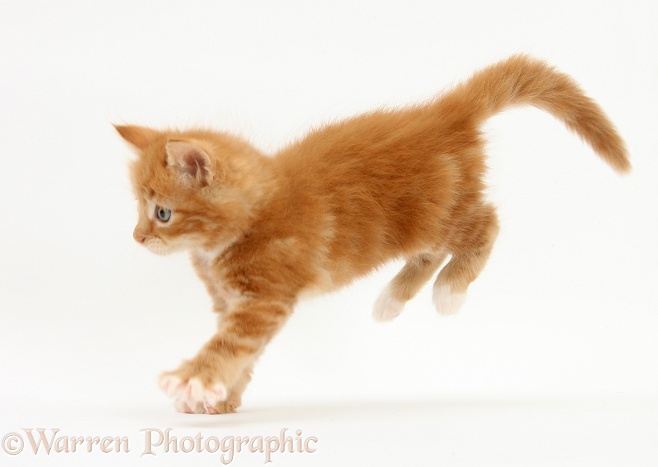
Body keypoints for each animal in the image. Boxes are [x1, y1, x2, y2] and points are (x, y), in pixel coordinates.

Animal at [115, 55, 628, 416]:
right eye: (139, 210)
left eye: (162, 213)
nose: (137, 237)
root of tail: (443, 113)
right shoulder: (234, 303)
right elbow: (243, 353)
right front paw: (220, 398)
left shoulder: (264, 299)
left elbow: (227, 345)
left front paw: (192, 380)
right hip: (420, 224)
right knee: (430, 252)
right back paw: (392, 300)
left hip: (440, 214)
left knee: (487, 223)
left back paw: (449, 291)